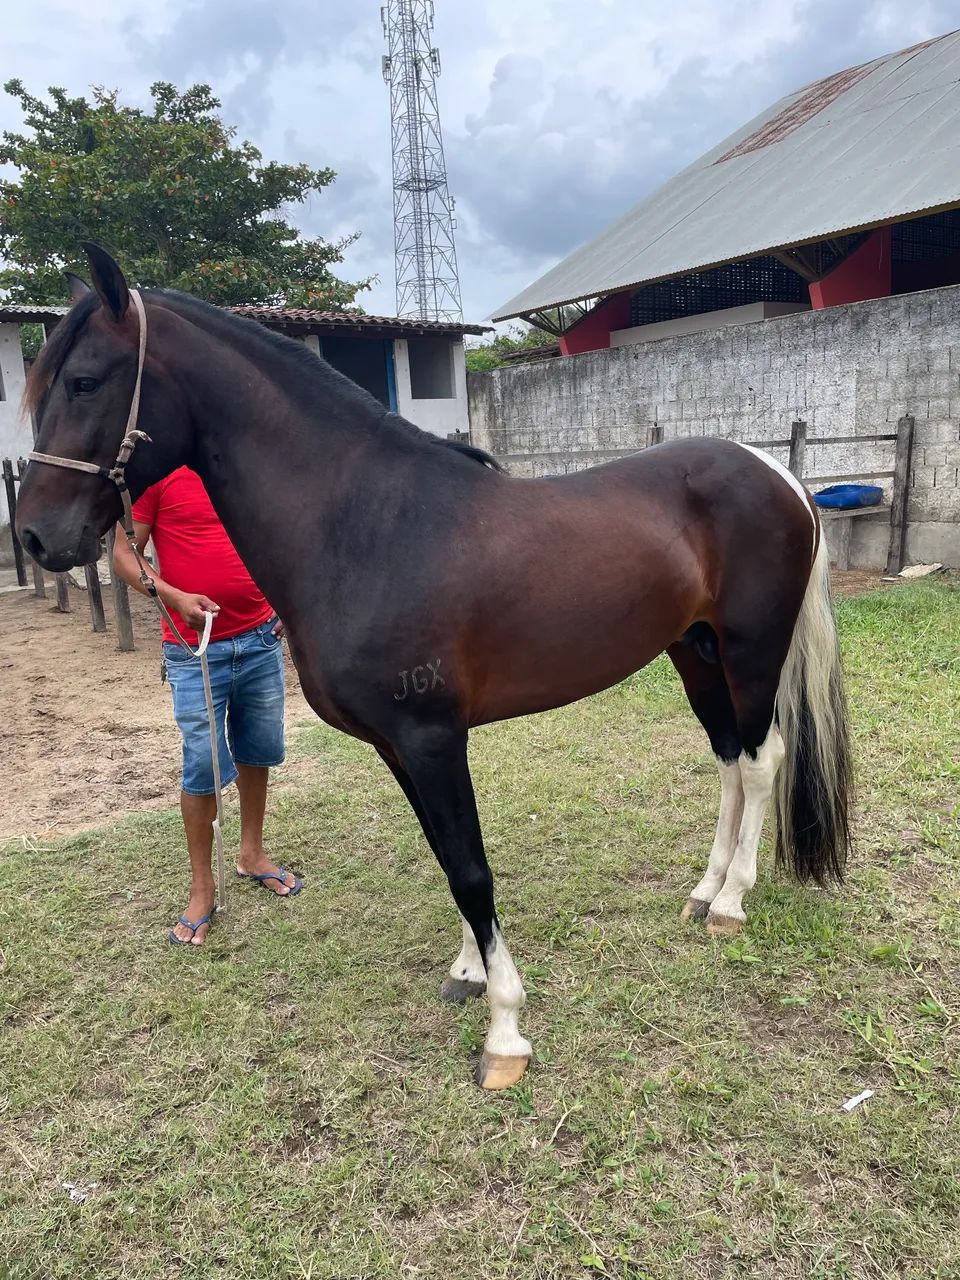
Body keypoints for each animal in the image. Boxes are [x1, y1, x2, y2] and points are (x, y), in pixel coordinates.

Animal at [16, 245, 852, 1090]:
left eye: (84, 380)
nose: (37, 538)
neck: (364, 527)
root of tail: (775, 474)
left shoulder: (431, 738)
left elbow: (472, 869)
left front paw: (506, 1030)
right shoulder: (399, 747)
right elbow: (447, 857)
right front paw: (469, 971)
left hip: (750, 651)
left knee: (761, 761)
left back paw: (731, 903)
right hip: (696, 653)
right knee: (728, 759)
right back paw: (704, 890)